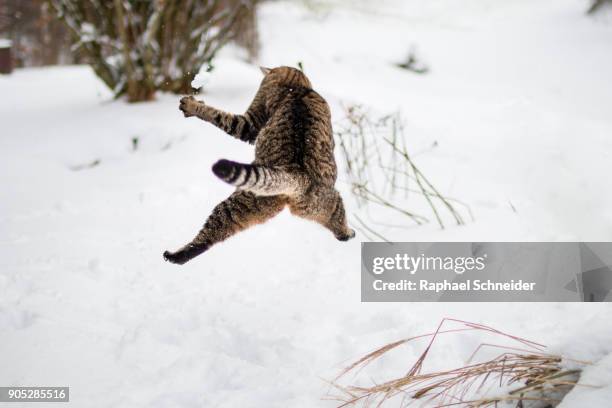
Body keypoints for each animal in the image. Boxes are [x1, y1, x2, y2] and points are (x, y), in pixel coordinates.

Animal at [164, 66, 354, 264]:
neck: (297, 87)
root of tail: (297, 174)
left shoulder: (250, 123)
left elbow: (221, 117)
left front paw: (193, 106)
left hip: (246, 198)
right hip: (286, 204)